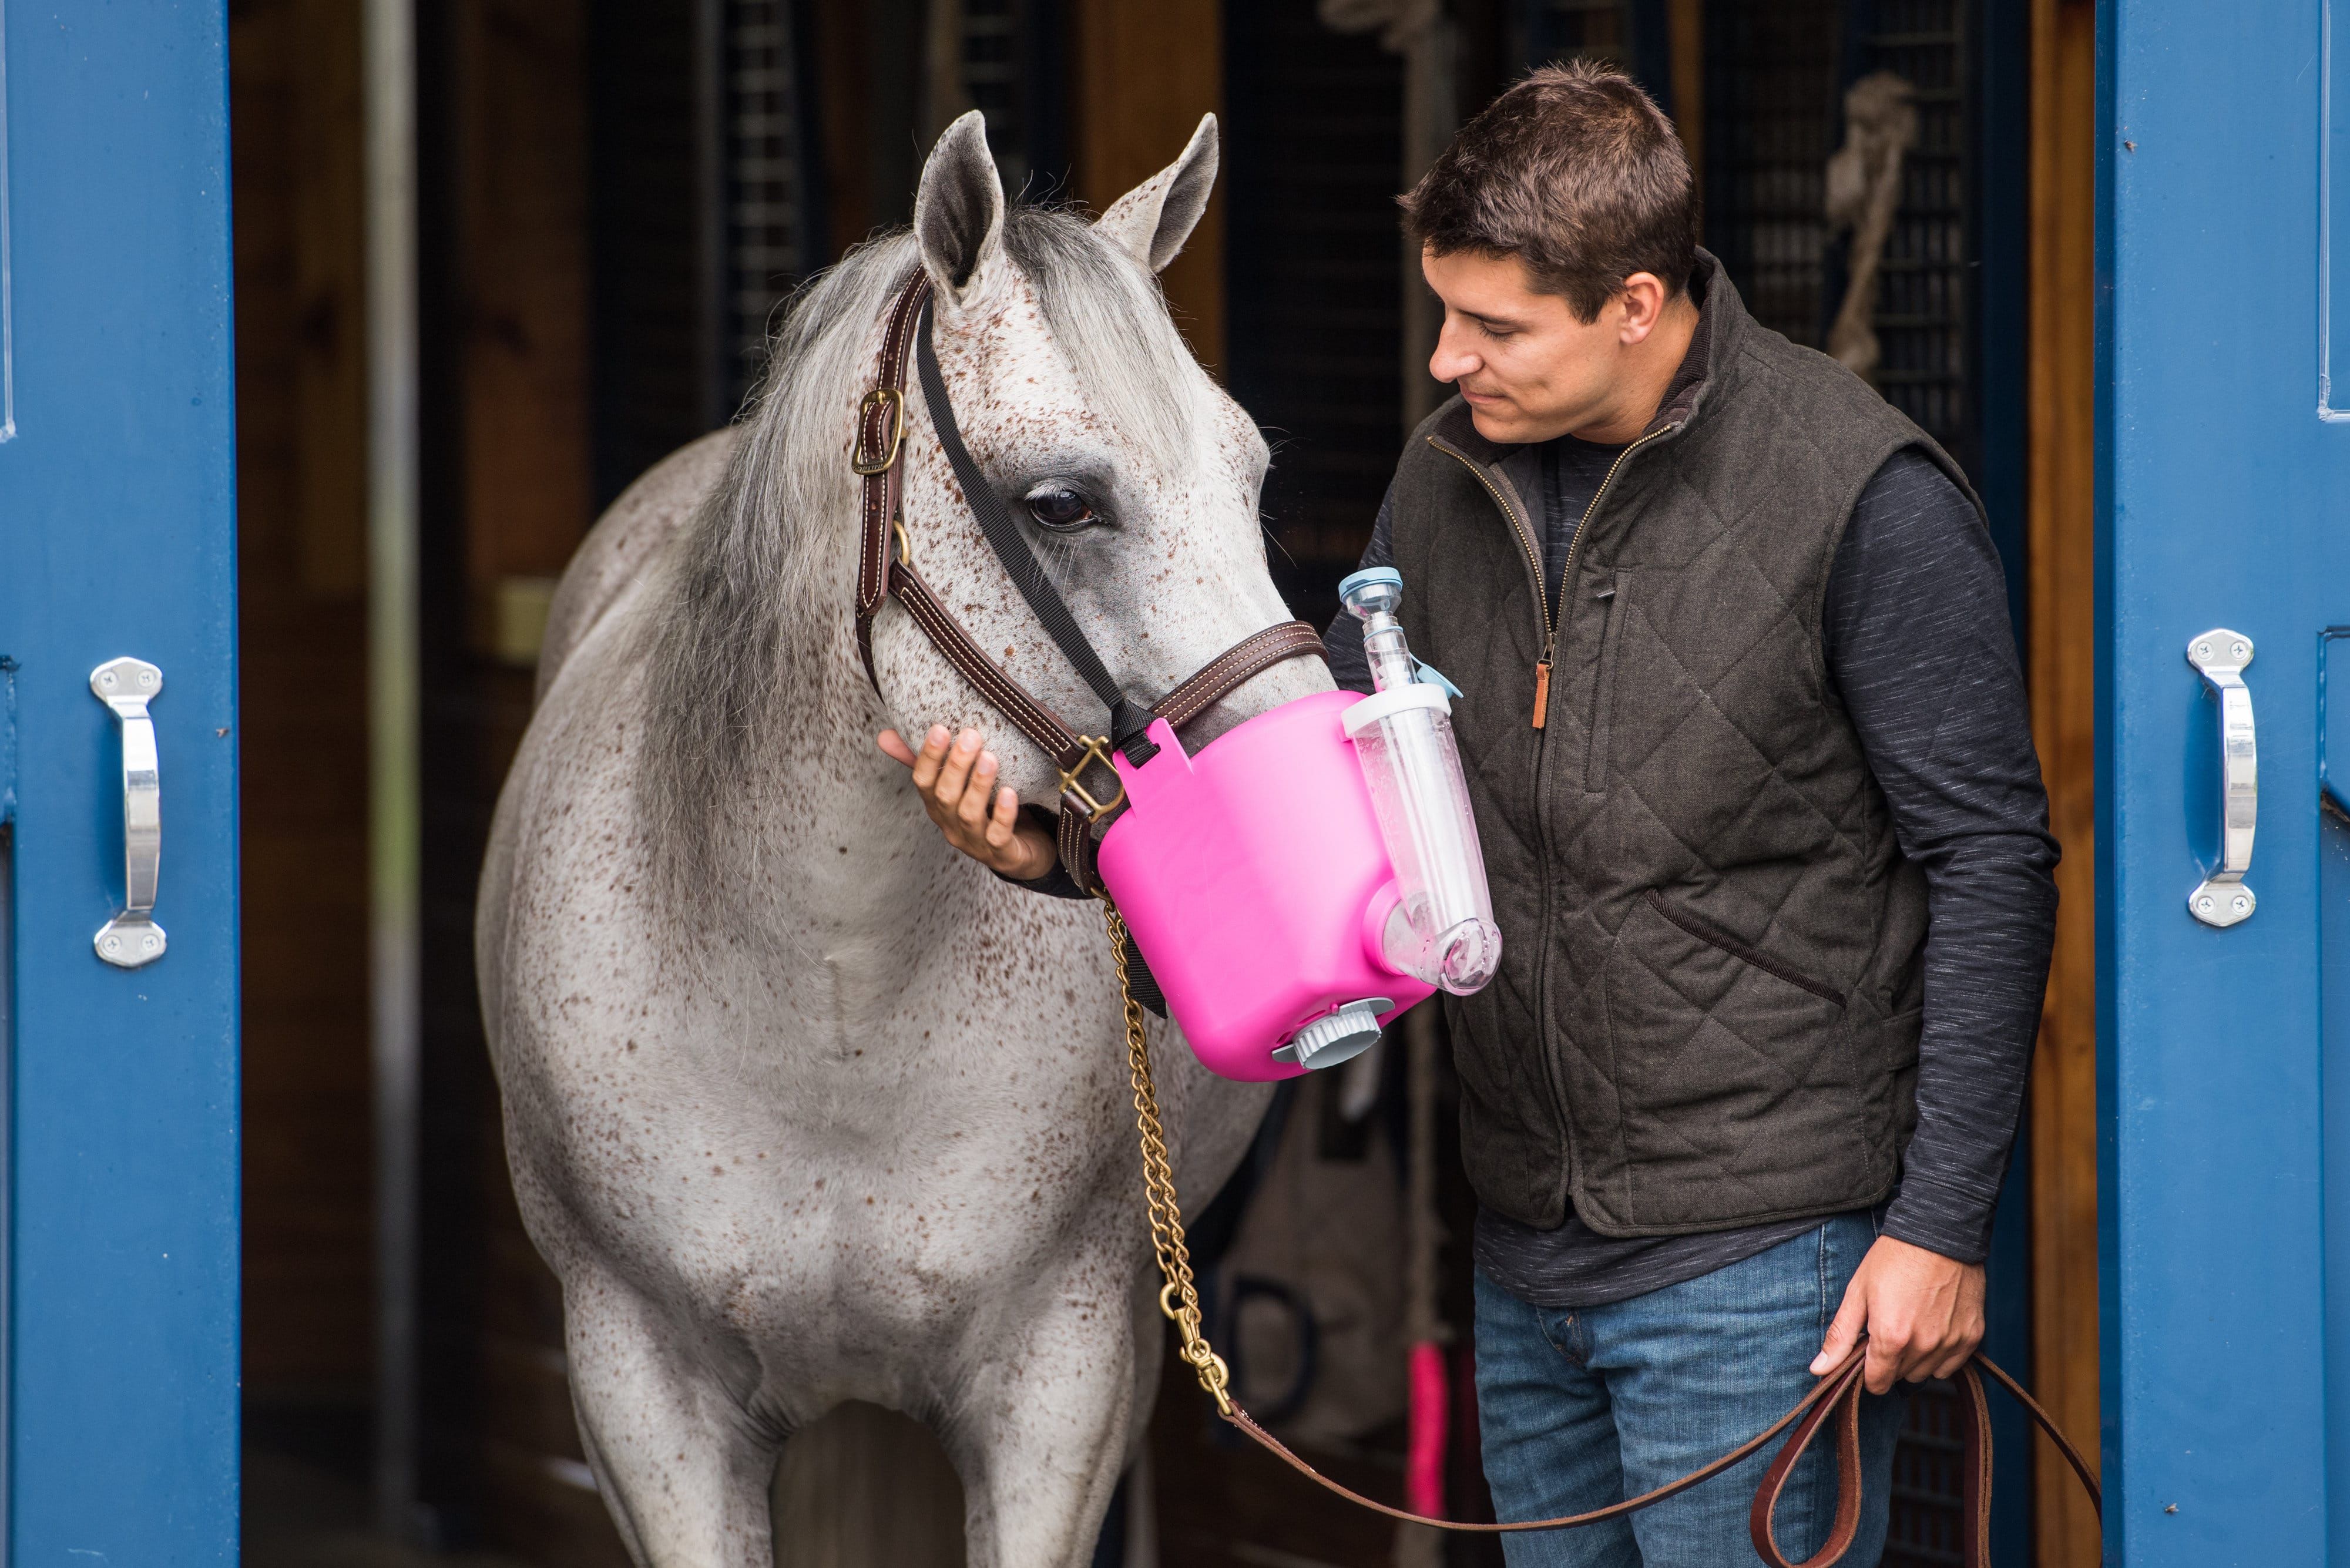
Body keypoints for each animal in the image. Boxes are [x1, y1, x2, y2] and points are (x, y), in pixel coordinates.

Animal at [475, 110, 1326, 1566]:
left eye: (1249, 474)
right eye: (1059, 503)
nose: (1310, 788)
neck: (831, 996)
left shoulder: (1063, 1385)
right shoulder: (644, 1393)